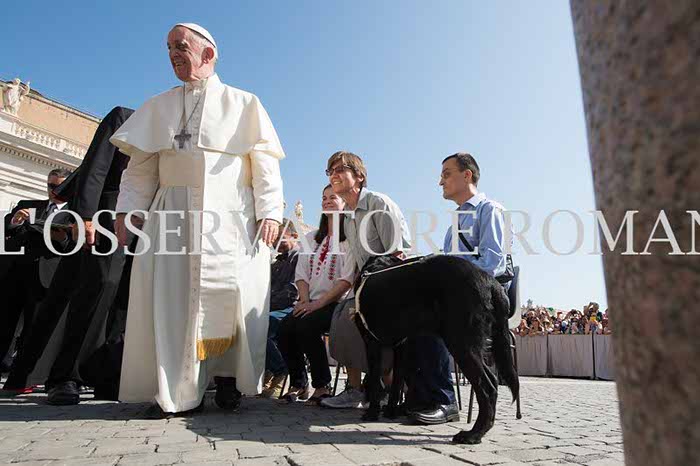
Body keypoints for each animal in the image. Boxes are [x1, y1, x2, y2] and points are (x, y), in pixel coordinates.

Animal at [352, 254, 519, 444]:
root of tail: (491, 282)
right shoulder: (401, 346)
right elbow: (396, 382)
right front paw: (391, 411)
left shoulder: (371, 343)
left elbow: (375, 380)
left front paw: (371, 413)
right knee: (492, 381)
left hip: (461, 343)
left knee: (487, 386)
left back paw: (473, 434)